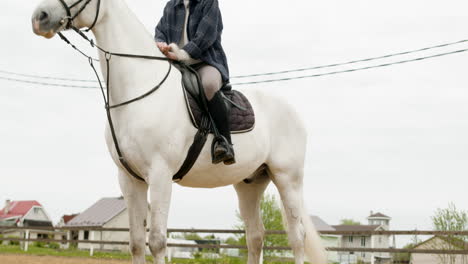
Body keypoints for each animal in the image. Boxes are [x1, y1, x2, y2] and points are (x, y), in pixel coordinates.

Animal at [32, 0, 326, 264]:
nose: (39, 17)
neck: (141, 86)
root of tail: (292, 112)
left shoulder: (160, 175)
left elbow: (156, 241)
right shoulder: (130, 180)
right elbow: (136, 243)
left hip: (287, 179)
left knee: (297, 237)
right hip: (249, 183)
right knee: (255, 237)